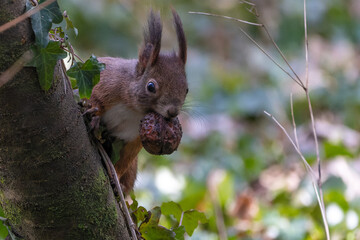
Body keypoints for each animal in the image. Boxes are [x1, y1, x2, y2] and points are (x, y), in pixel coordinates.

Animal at [88, 9, 188, 194]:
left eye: (186, 89)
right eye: (151, 86)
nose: (173, 112)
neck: (133, 109)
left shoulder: (133, 138)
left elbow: (124, 160)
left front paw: (116, 179)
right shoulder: (106, 82)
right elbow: (92, 97)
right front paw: (94, 116)